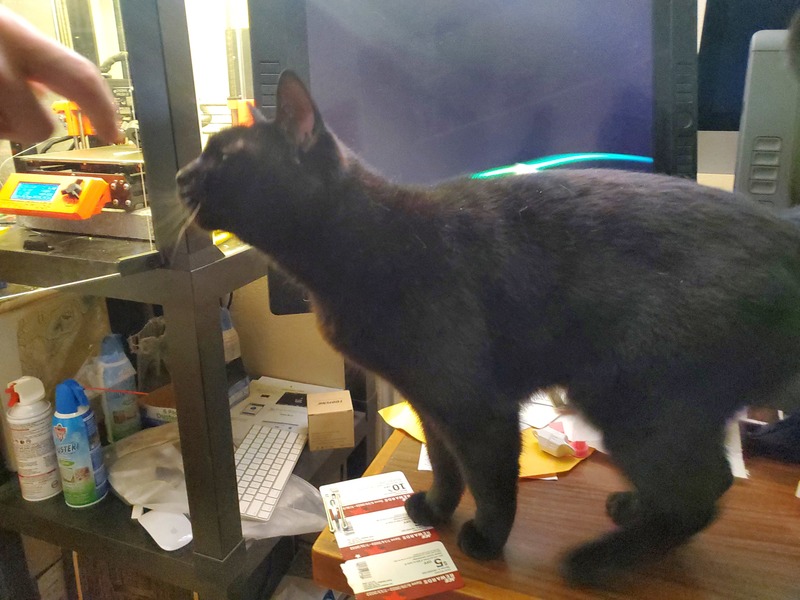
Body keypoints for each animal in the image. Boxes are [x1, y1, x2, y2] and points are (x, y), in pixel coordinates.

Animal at [176, 67, 800, 585]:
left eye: (224, 155)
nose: (180, 174)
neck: (366, 241)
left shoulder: (478, 406)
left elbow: (492, 481)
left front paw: (487, 541)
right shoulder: (427, 400)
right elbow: (447, 464)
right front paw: (434, 510)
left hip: (630, 395)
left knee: (702, 493)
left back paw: (599, 562)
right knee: (700, 484)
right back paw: (630, 513)